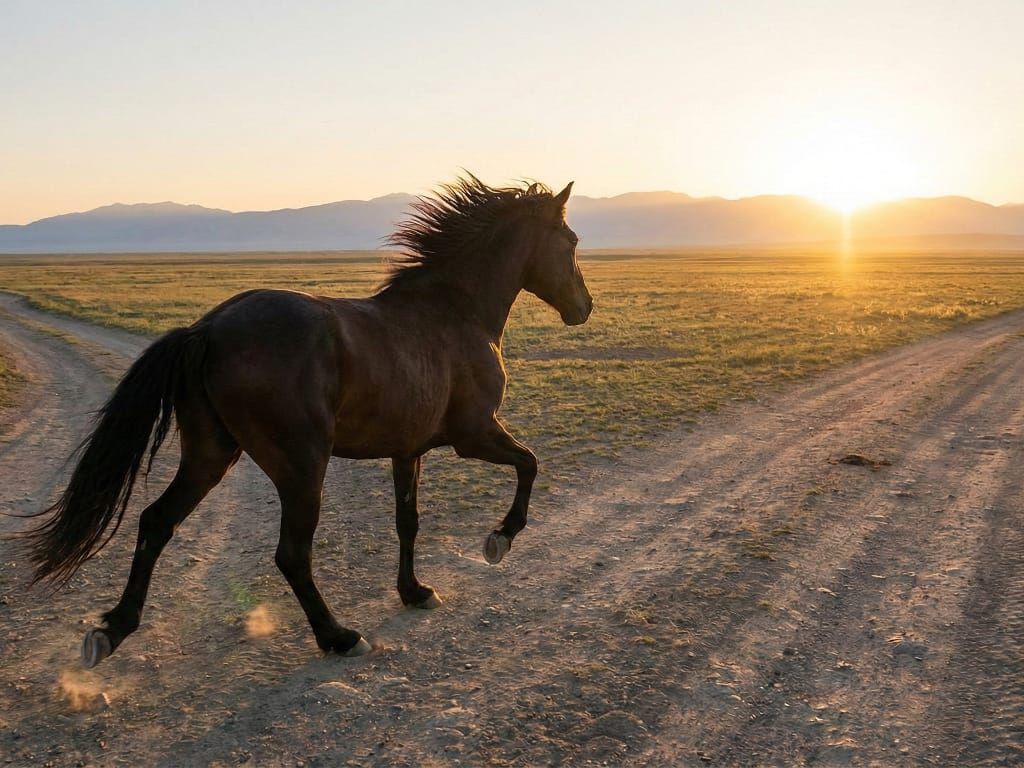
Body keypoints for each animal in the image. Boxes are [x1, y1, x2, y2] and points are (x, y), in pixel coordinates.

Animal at [25, 175, 593, 667]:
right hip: (301, 465)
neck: (453, 313)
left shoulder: (407, 450)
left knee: (156, 522)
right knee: (291, 554)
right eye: (571, 240)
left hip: (210, 454)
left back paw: (113, 629)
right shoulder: (473, 434)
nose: (584, 307)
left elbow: (407, 522)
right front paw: (500, 539)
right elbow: (529, 464)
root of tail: (207, 328)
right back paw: (338, 636)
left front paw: (414, 591)